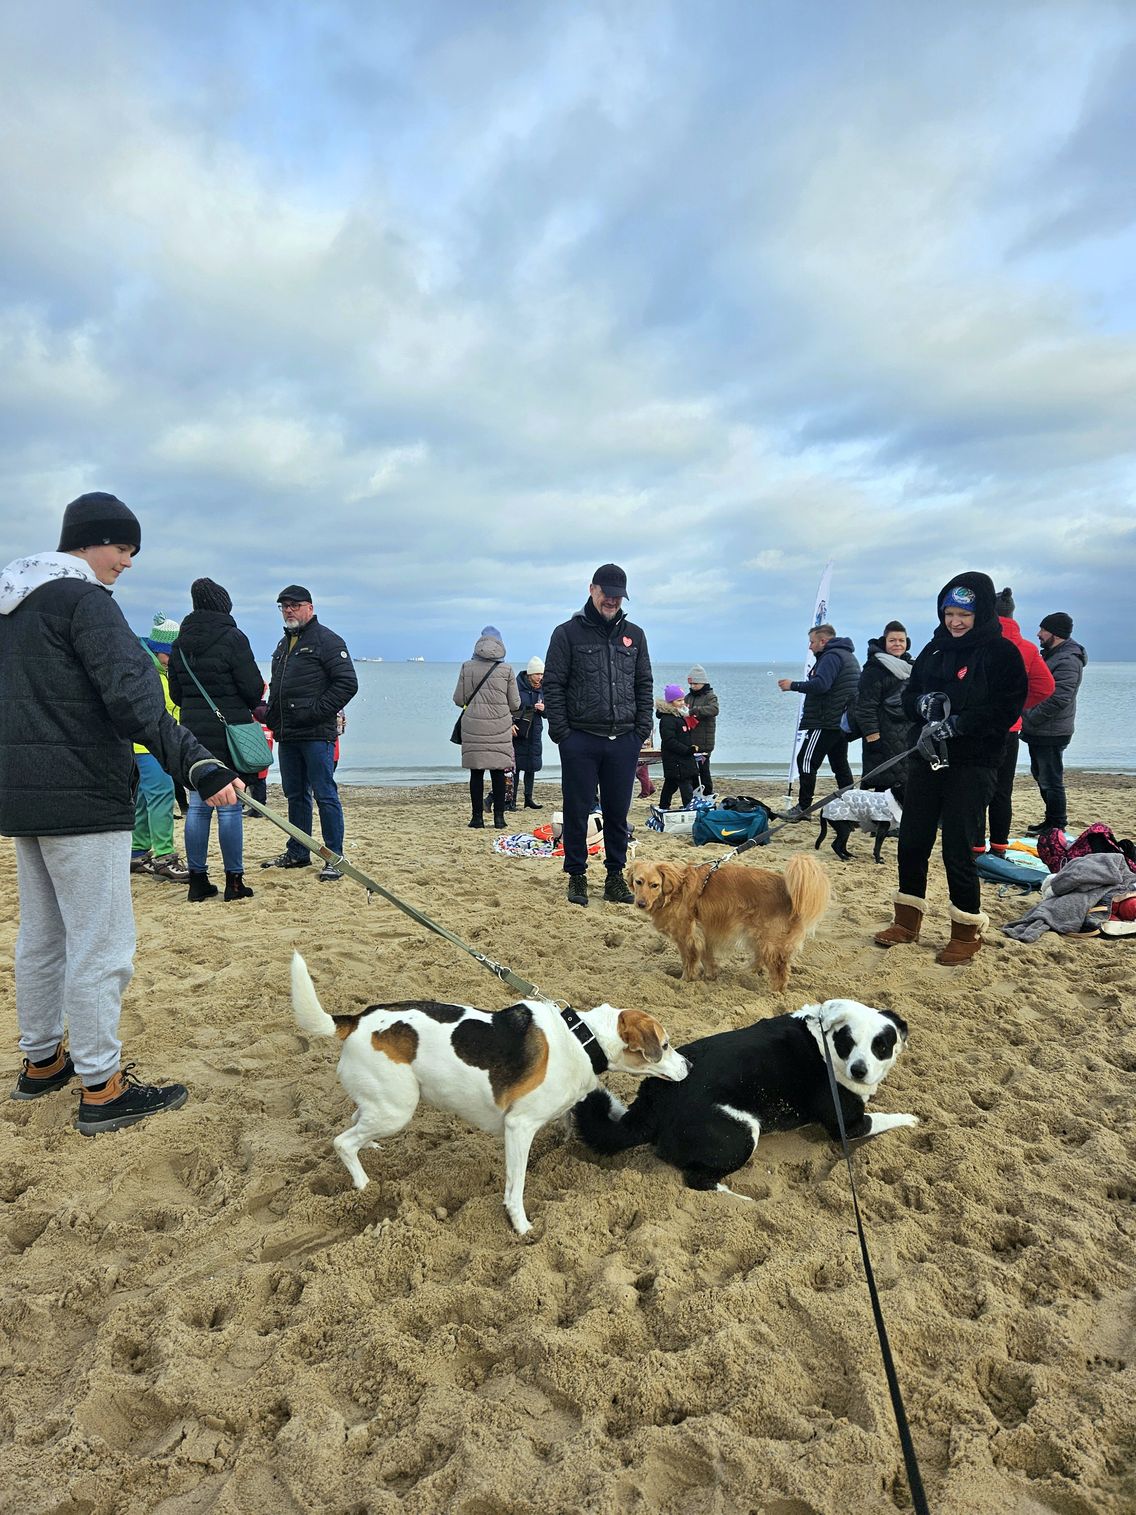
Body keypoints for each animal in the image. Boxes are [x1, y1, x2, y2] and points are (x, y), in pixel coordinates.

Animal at [289, 951, 690, 1236]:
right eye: (665, 1046)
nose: (688, 1065)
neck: (582, 1039)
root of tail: (356, 1020)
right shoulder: (519, 1127)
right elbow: (517, 1186)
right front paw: (521, 1226)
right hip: (397, 1109)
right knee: (342, 1142)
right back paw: (363, 1184)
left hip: (385, 1103)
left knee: (357, 1119)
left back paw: (369, 1146)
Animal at [578, 999, 914, 1199]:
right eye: (848, 1042)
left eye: (881, 1046)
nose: (859, 1070)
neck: (826, 1043)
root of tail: (654, 1099)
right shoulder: (849, 1124)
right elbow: (884, 1118)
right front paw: (911, 1118)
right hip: (742, 1134)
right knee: (698, 1180)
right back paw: (741, 1199)